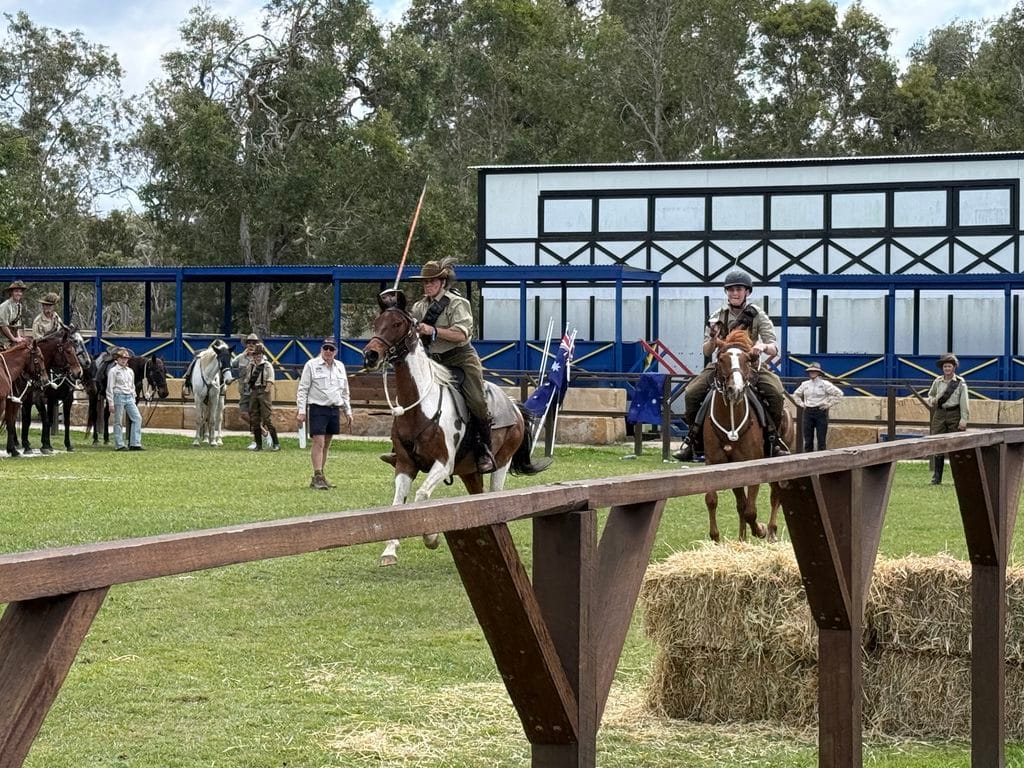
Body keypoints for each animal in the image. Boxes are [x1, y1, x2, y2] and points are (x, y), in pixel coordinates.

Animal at [361, 291, 552, 567]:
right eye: (377, 323)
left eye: (396, 324)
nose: (371, 355)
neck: (420, 406)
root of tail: (515, 407)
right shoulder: (405, 464)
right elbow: (398, 504)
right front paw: (389, 550)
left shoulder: (443, 464)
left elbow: (421, 497)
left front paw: (431, 537)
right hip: (469, 472)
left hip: (501, 464)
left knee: (495, 496)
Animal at [702, 329, 795, 543]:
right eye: (721, 359)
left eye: (747, 359)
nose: (734, 390)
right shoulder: (714, 463)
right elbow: (713, 500)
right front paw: (716, 538)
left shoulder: (755, 464)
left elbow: (751, 510)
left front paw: (760, 529)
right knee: (741, 503)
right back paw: (742, 538)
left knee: (775, 495)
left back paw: (771, 531)